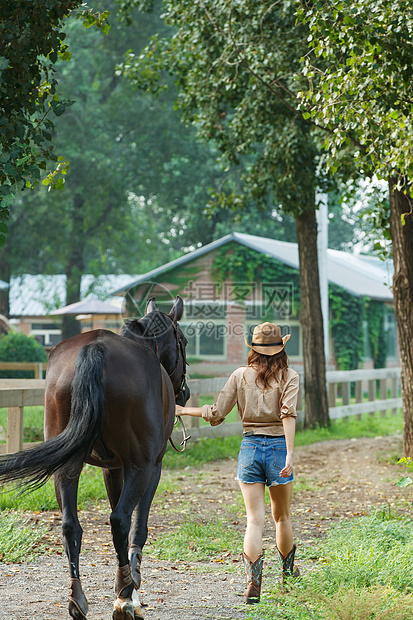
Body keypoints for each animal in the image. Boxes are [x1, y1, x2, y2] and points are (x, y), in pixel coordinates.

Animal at [0, 298, 188, 616]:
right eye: (183, 341)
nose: (184, 393)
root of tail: (96, 348)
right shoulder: (150, 467)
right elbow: (138, 527)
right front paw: (133, 588)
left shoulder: (112, 469)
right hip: (141, 467)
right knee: (120, 520)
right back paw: (124, 596)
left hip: (67, 467)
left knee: (70, 526)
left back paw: (78, 599)